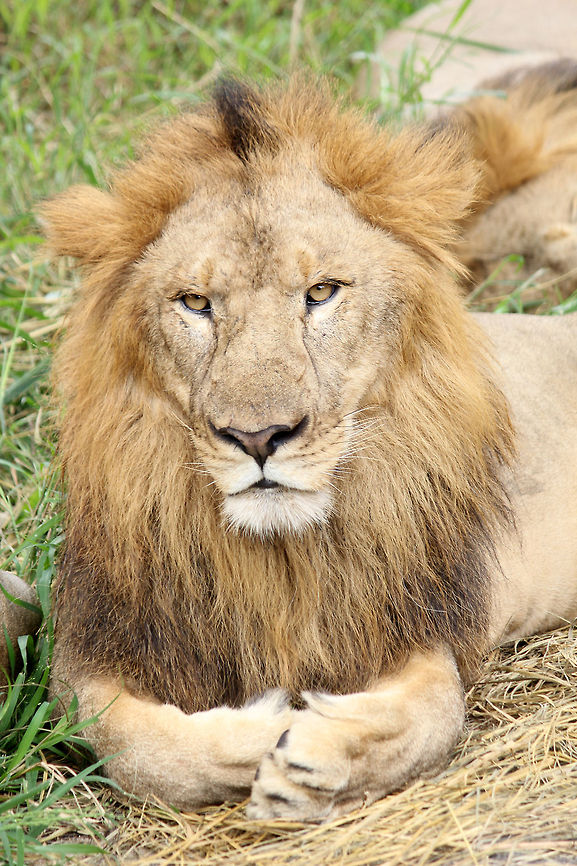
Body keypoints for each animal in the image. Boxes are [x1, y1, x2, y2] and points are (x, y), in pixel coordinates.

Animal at [37, 67, 577, 822]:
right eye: (196, 303)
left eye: (321, 291)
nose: (258, 436)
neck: (281, 558)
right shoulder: (92, 644)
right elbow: (134, 745)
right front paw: (254, 734)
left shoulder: (416, 622)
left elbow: (430, 715)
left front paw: (315, 758)